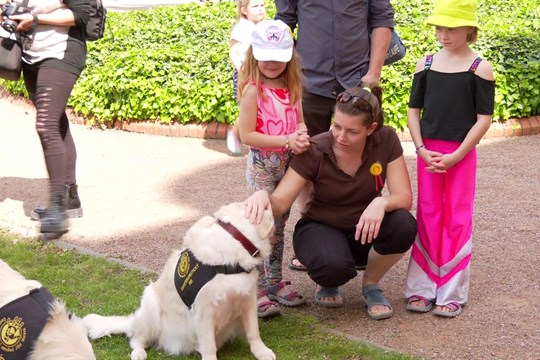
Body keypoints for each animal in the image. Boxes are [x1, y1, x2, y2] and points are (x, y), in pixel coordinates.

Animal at [83, 202, 278, 360]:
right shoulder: (204, 312)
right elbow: (209, 346)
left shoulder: (248, 299)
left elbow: (253, 331)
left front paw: (262, 352)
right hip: (151, 303)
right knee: (136, 338)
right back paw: (138, 353)